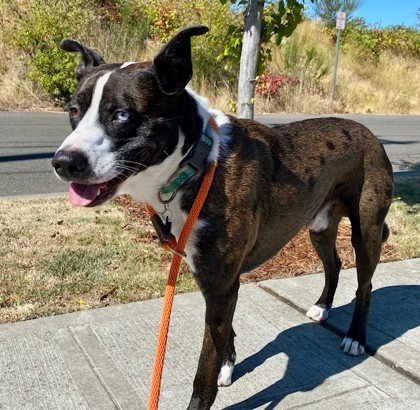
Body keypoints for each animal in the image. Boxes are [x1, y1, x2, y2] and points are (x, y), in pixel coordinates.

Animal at [52, 26, 394, 410]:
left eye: (122, 115)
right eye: (74, 110)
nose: (63, 163)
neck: (198, 165)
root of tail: (370, 134)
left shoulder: (220, 285)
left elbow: (205, 367)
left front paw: (210, 385)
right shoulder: (214, 280)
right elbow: (223, 334)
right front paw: (229, 363)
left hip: (366, 229)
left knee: (365, 284)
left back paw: (355, 337)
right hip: (319, 224)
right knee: (334, 264)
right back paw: (322, 306)